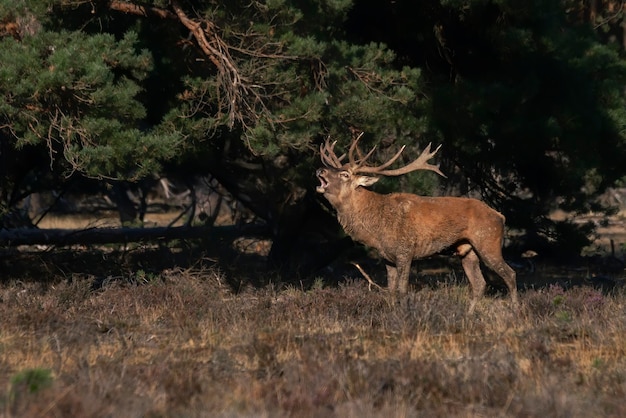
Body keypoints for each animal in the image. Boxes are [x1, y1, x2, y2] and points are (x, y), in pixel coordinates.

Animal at [316, 134, 516, 314]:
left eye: (345, 174)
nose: (320, 170)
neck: (375, 229)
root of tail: (501, 216)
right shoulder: (387, 257)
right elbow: (390, 290)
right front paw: (392, 314)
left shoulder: (406, 251)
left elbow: (402, 290)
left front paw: (404, 316)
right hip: (467, 250)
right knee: (480, 284)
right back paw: (468, 315)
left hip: (488, 242)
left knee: (510, 274)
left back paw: (515, 311)